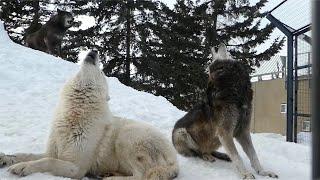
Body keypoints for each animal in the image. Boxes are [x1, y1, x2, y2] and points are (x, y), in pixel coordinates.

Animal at [0, 50, 178, 180]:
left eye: (101, 73)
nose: (94, 51)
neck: (75, 114)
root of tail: (174, 160)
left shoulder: (77, 168)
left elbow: (47, 161)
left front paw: (23, 167)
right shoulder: (54, 151)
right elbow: (26, 154)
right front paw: (6, 158)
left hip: (127, 138)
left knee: (141, 176)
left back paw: (110, 178)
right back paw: (108, 173)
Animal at [171, 44, 278, 179]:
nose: (216, 44)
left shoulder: (243, 131)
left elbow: (254, 155)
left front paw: (263, 172)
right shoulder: (225, 133)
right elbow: (237, 157)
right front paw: (246, 174)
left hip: (215, 140)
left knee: (209, 150)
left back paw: (222, 155)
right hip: (181, 133)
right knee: (198, 152)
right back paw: (207, 156)